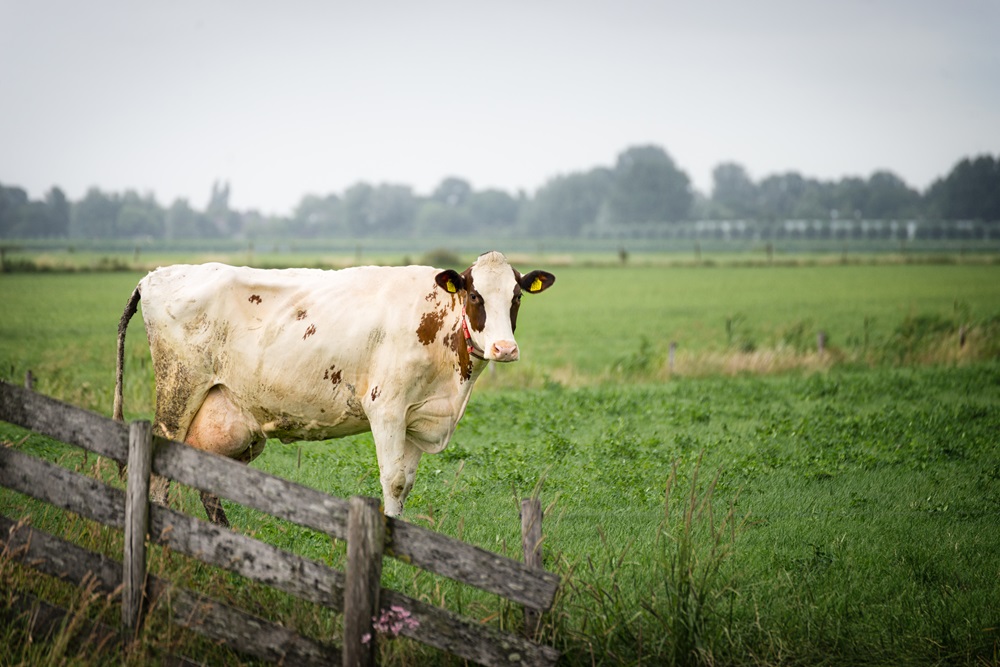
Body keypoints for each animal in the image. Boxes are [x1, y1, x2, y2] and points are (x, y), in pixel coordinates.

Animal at [113, 250, 555, 526]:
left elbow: (406, 483)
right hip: (177, 394)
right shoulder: (387, 408)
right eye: (475, 294)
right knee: (159, 473)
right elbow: (393, 480)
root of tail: (155, 274)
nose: (505, 348)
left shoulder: (418, 417)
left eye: (516, 296)